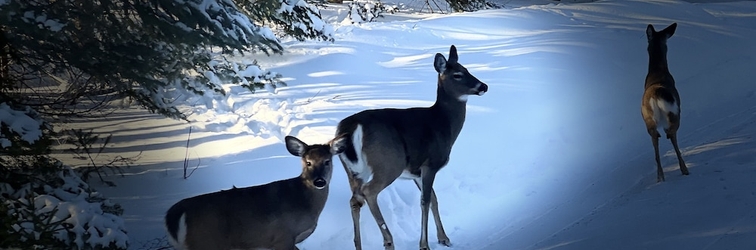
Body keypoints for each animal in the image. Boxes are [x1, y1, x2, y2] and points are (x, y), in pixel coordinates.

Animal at [165, 135, 348, 250]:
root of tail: (174, 214)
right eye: (308, 162)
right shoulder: (282, 237)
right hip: (204, 241)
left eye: (327, 161)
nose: (319, 181)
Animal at [336, 45, 490, 250]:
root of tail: (351, 127)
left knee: (355, 200)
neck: (444, 124)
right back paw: (388, 240)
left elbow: (434, 199)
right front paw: (424, 244)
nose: (483, 86)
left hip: (353, 171)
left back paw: (359, 245)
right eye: (457, 74)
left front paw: (444, 238)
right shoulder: (430, 163)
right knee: (369, 192)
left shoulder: (415, 171)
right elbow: (425, 201)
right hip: (389, 164)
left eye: (467, 69)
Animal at [640, 22, 688, 183]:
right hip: (674, 113)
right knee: (672, 134)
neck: (658, 72)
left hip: (647, 119)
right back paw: (684, 169)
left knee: (655, 140)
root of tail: (655, 95)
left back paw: (660, 176)